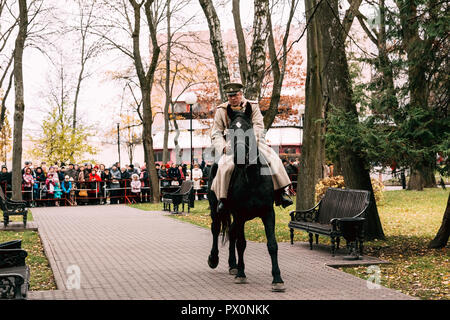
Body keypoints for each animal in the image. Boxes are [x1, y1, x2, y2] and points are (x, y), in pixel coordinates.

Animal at [207, 102, 284, 292]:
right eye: (230, 130)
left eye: (248, 128)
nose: (240, 153)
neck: (252, 178)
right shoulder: (240, 214)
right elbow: (241, 243)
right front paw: (242, 274)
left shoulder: (268, 213)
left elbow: (272, 244)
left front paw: (277, 278)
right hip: (216, 210)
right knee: (216, 229)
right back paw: (214, 259)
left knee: (232, 232)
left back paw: (232, 265)